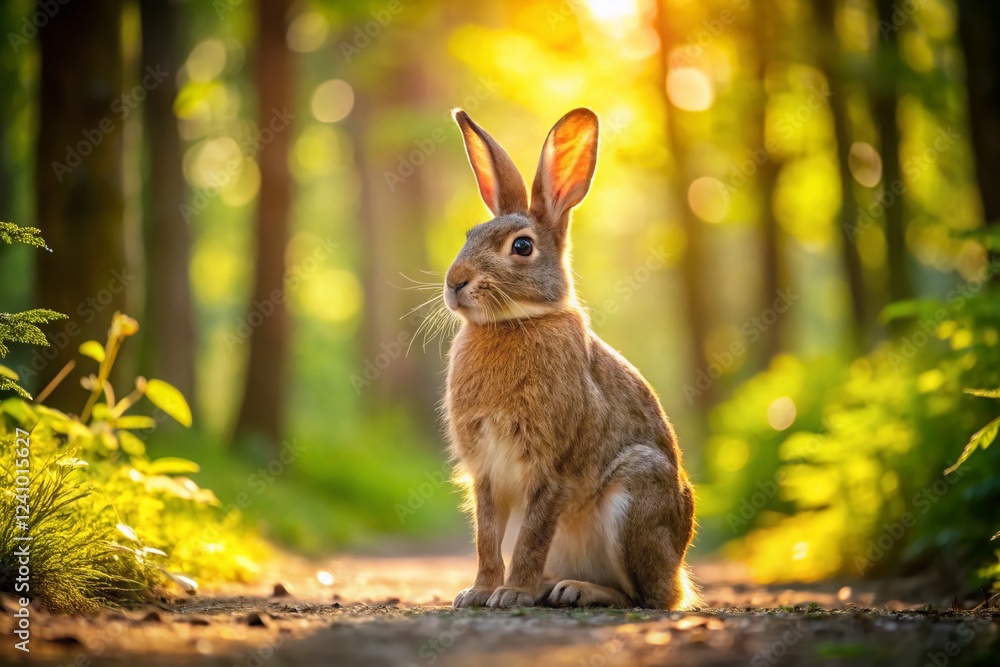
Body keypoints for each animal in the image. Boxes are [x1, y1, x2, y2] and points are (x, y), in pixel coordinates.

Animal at [442, 107, 698, 610]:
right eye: (470, 235)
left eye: (522, 246)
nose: (455, 282)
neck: (515, 322)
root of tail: (678, 574)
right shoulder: (486, 472)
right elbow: (487, 537)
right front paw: (478, 593)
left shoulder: (551, 466)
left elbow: (531, 537)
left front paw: (511, 595)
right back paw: (549, 587)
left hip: (637, 495)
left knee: (645, 598)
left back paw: (575, 590)